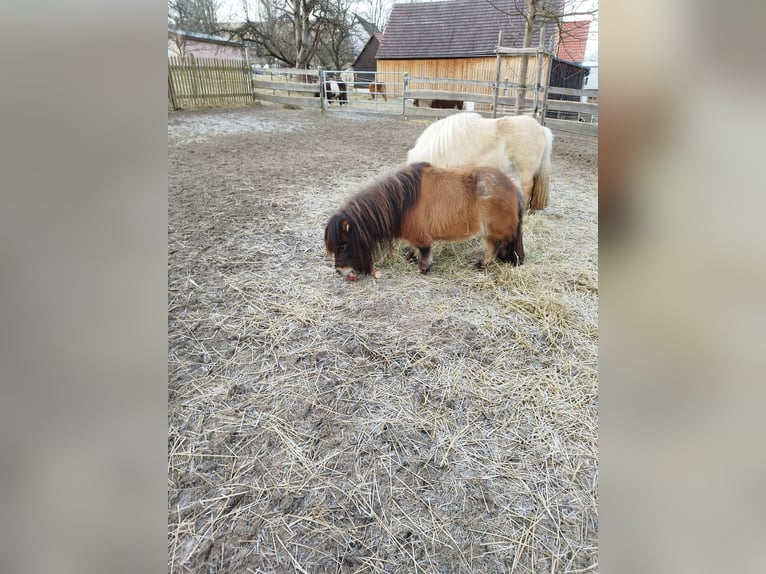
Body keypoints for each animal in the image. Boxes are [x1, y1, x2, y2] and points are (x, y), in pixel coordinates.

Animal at [324, 162, 528, 282]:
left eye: (343, 246)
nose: (339, 271)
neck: (403, 200)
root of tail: (513, 188)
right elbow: (415, 247)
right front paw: (410, 256)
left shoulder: (421, 235)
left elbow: (424, 250)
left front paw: (423, 268)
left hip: (491, 230)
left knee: (495, 246)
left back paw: (480, 264)